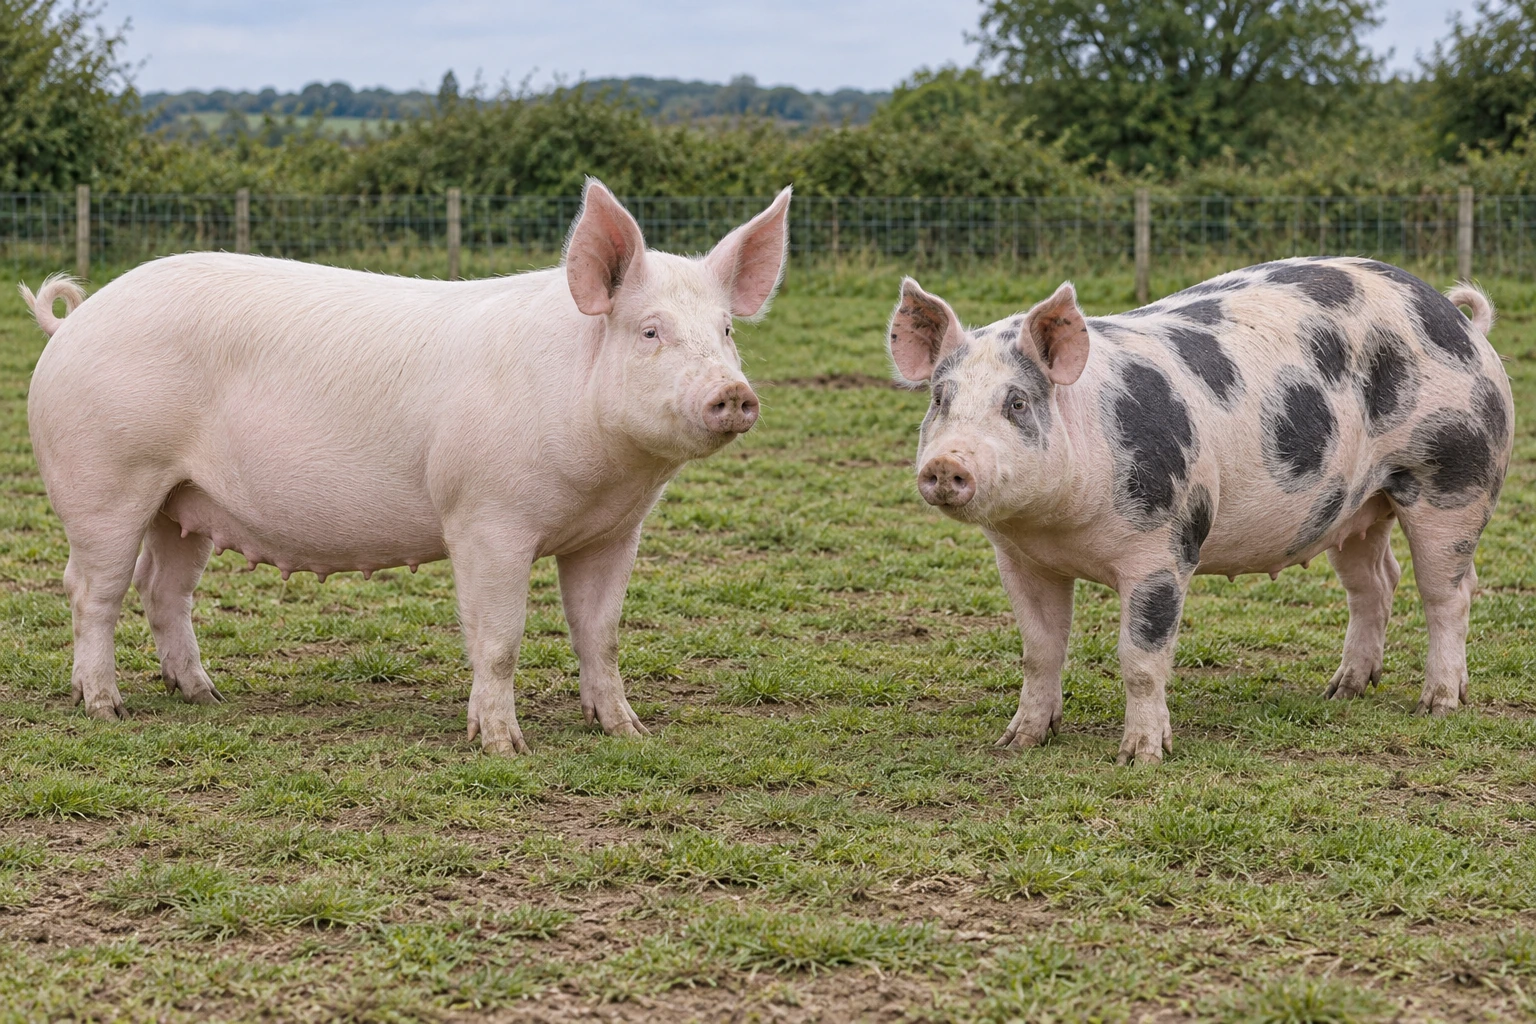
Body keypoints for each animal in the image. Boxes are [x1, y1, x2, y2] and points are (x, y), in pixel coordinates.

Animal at [21, 179, 792, 754]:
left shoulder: (613, 533)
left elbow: (599, 635)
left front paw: (628, 733)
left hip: (183, 500)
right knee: (92, 590)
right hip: (105, 480)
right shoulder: (485, 518)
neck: (607, 478)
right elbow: (499, 638)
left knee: (162, 590)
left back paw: (207, 695)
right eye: (650, 331)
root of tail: (74, 320)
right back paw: (105, 709)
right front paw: (505, 748)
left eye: (726, 330)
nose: (734, 391)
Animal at [887, 259, 1512, 764]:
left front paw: (1140, 757)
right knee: (1377, 582)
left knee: (1449, 591)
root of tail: (1460, 322)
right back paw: (1342, 690)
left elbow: (1140, 657)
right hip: (1354, 507)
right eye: (940, 399)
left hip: (1454, 479)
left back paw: (1439, 704)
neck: (1058, 528)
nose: (946, 464)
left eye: (1016, 403)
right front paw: (1017, 741)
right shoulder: (1020, 558)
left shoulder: (1164, 546)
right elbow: (1039, 650)